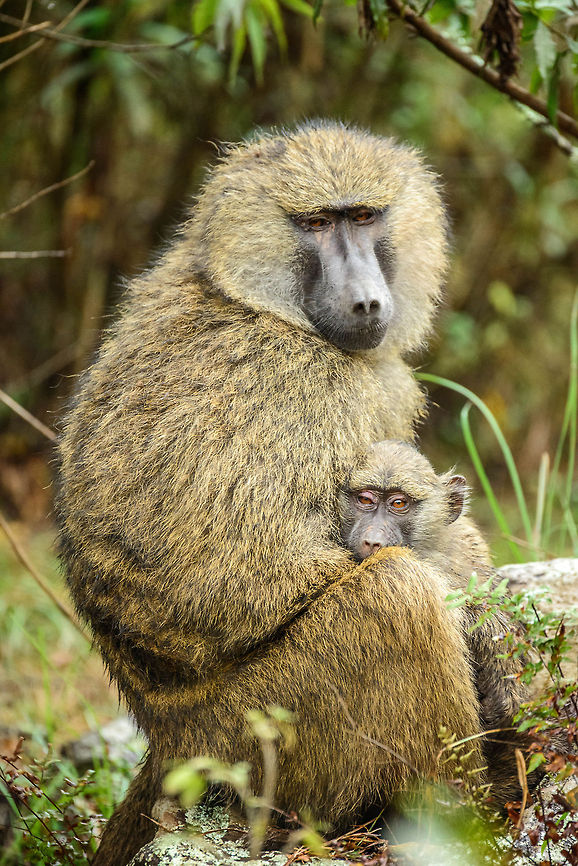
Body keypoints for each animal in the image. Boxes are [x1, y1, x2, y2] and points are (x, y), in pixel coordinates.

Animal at [54, 122, 526, 866]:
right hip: (254, 736)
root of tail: (166, 743)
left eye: (363, 216)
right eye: (316, 223)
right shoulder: (298, 385)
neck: (249, 297)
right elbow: (239, 575)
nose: (366, 302)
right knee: (396, 596)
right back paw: (466, 816)